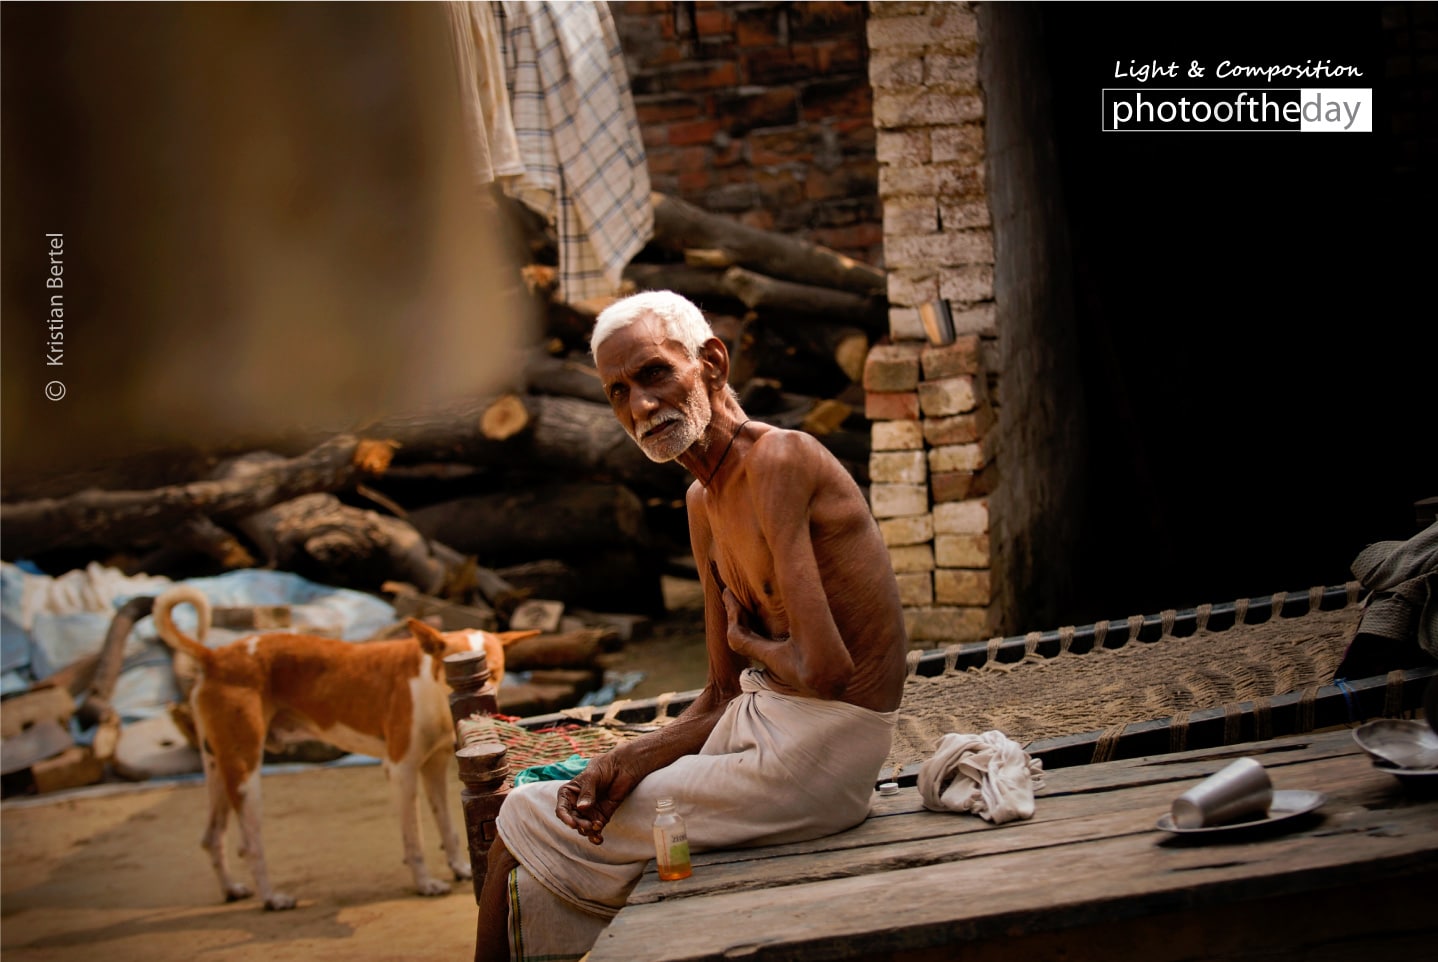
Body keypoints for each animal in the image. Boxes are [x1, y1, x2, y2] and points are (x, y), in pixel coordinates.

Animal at [151, 580, 537, 903]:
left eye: (497, 671)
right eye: (470, 668)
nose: (487, 705)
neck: (429, 684)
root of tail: (215, 656)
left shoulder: (434, 766)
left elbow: (448, 827)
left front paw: (459, 867)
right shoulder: (401, 769)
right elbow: (414, 839)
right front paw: (425, 883)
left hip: (218, 765)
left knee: (211, 837)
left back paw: (231, 889)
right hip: (244, 771)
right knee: (249, 844)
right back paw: (272, 899)